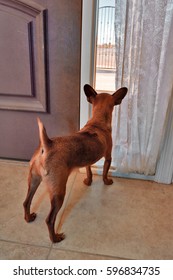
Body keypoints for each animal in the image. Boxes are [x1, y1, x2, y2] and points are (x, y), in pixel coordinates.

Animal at [22, 83, 127, 243]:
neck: (97, 122)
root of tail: (48, 145)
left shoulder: (88, 161)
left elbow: (89, 171)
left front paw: (88, 181)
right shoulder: (108, 157)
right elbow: (104, 172)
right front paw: (107, 181)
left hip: (34, 180)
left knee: (26, 202)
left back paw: (28, 218)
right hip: (58, 193)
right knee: (50, 220)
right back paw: (55, 238)